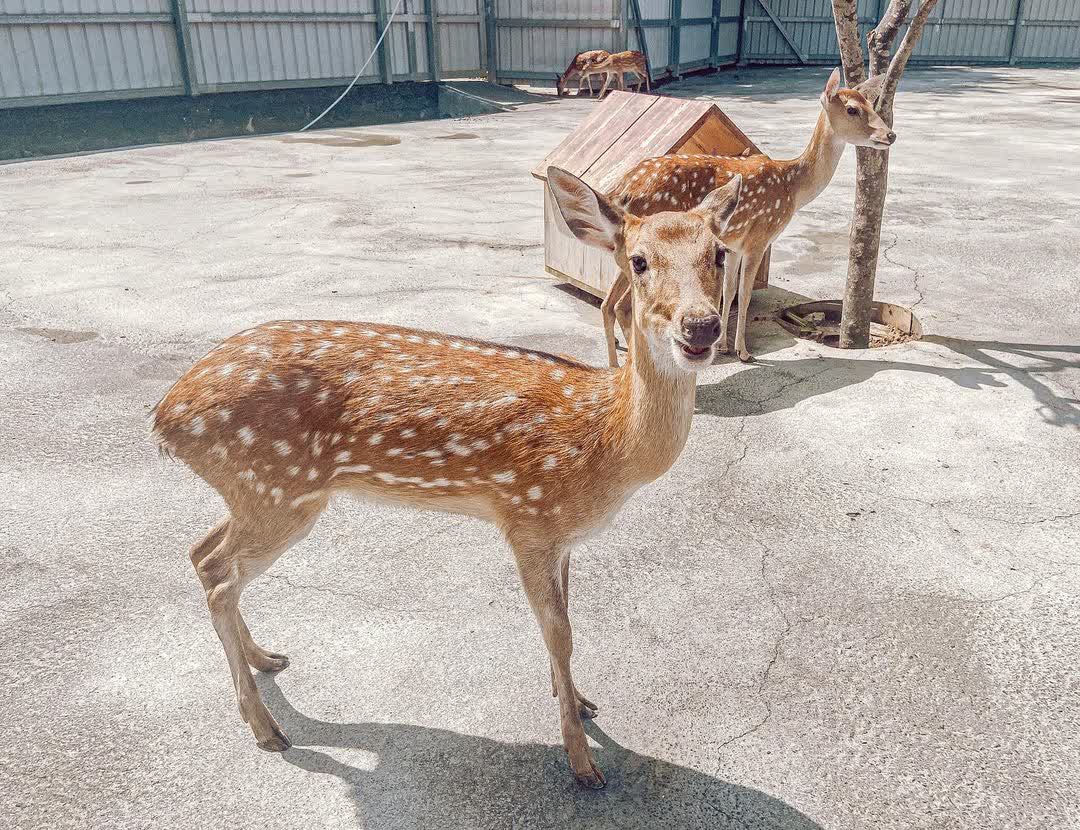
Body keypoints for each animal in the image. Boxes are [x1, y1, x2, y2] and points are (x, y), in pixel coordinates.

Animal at [150, 168, 744, 790]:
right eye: (638, 260)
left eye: (719, 253)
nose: (702, 326)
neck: (607, 443)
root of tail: (164, 417)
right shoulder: (529, 520)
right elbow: (560, 634)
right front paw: (582, 764)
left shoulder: (562, 538)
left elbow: (567, 624)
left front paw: (579, 702)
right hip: (279, 488)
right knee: (219, 574)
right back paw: (266, 728)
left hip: (256, 492)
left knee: (201, 552)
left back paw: (266, 659)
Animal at [598, 68, 895, 366]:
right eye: (852, 109)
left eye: (873, 104)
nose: (890, 134)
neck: (793, 188)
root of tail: (621, 187)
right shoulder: (759, 238)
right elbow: (746, 294)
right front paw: (743, 351)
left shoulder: (734, 245)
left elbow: (729, 291)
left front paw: (725, 346)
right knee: (623, 306)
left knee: (608, 303)